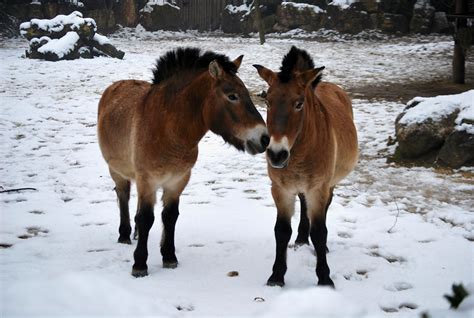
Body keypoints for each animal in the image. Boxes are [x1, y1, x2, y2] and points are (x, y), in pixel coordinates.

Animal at [97, 47, 268, 278]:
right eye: (232, 96)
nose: (264, 138)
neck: (168, 129)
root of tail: (115, 86)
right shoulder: (148, 180)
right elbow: (147, 218)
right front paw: (139, 264)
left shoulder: (177, 181)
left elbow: (169, 216)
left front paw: (169, 257)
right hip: (117, 171)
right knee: (123, 196)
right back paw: (124, 235)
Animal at [254, 46, 358, 286]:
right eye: (268, 101)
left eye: (299, 103)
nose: (277, 154)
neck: (299, 152)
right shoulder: (281, 190)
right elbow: (282, 231)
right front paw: (277, 276)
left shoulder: (318, 189)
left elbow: (319, 232)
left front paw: (325, 278)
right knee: (303, 205)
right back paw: (301, 238)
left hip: (328, 186)